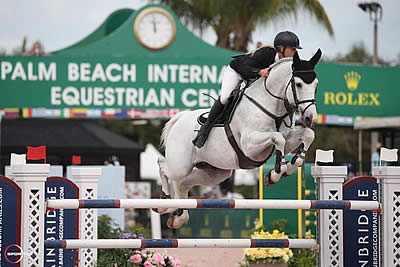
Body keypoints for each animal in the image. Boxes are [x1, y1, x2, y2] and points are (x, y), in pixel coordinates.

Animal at [156, 50, 322, 230]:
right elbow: (278, 139)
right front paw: (276, 173)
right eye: (298, 84)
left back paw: (179, 216)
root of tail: (179, 118)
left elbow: (307, 135)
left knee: (183, 184)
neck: (272, 106)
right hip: (181, 165)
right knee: (163, 166)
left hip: (214, 172)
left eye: (316, 85)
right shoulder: (249, 145)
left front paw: (287, 168)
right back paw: (163, 203)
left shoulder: (288, 138)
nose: (310, 118)